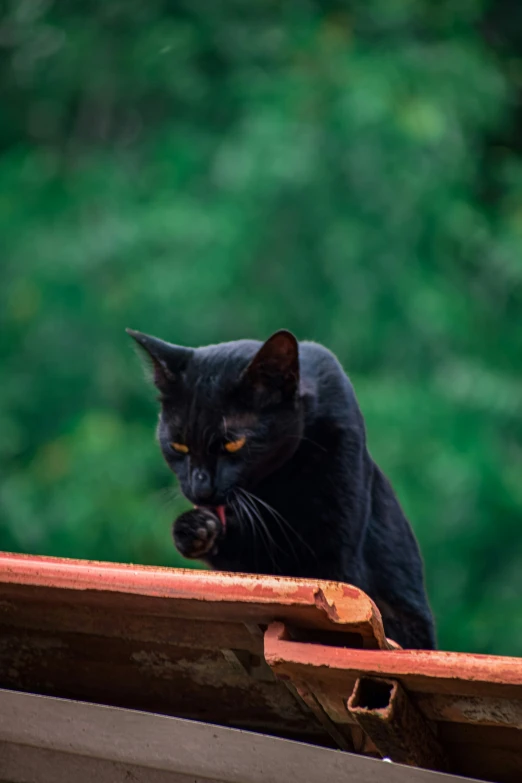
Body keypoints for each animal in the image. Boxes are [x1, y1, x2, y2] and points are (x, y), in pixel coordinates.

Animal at [127, 326, 434, 648]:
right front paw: (195, 529)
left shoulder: (334, 552)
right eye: (178, 445)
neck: (275, 487)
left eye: (232, 444)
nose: (201, 490)